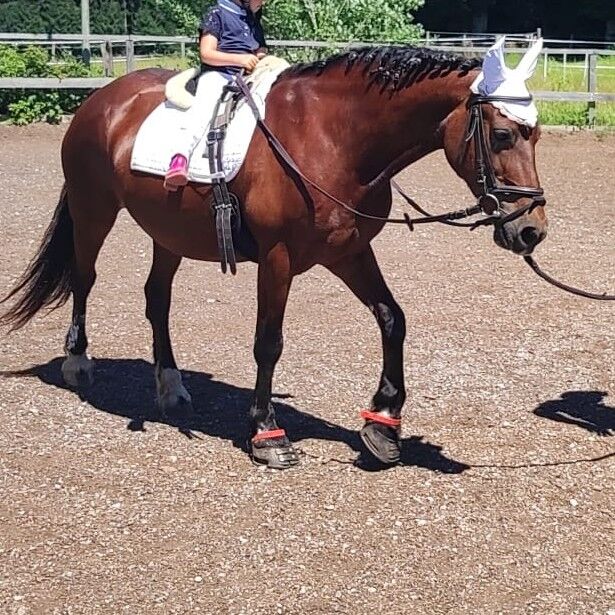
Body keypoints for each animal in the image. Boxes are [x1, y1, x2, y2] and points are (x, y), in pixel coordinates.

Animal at [0, 45, 548, 472]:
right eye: (502, 135)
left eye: (536, 136)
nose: (531, 230)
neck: (332, 137)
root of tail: (102, 98)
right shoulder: (277, 258)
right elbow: (269, 343)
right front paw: (267, 434)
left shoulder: (350, 251)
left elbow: (393, 319)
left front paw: (383, 425)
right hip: (93, 208)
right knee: (84, 278)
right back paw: (78, 363)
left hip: (168, 232)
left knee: (157, 299)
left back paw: (171, 387)